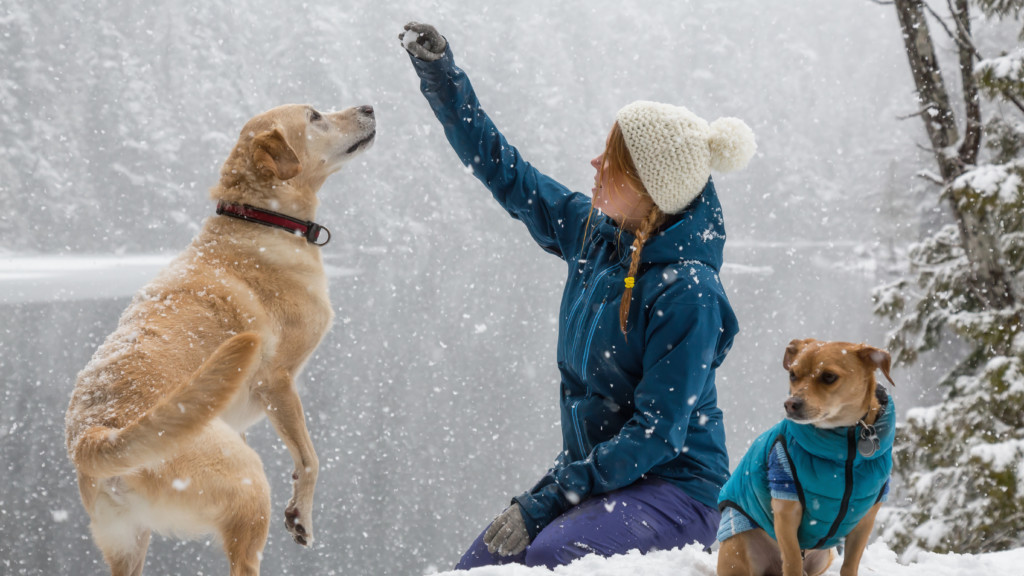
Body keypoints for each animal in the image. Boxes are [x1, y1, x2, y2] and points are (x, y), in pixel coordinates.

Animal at [65, 103, 376, 573]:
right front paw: (300, 515)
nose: (369, 108)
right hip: (248, 483)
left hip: (127, 541)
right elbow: (309, 459)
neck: (261, 219)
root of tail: (96, 434)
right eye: (315, 116)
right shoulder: (278, 382)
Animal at [716, 336, 892, 573]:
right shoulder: (786, 506)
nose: (790, 404)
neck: (845, 446)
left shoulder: (866, 518)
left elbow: (850, 564)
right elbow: (792, 561)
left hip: (823, 556)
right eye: (793, 374)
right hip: (740, 546)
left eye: (829, 376)